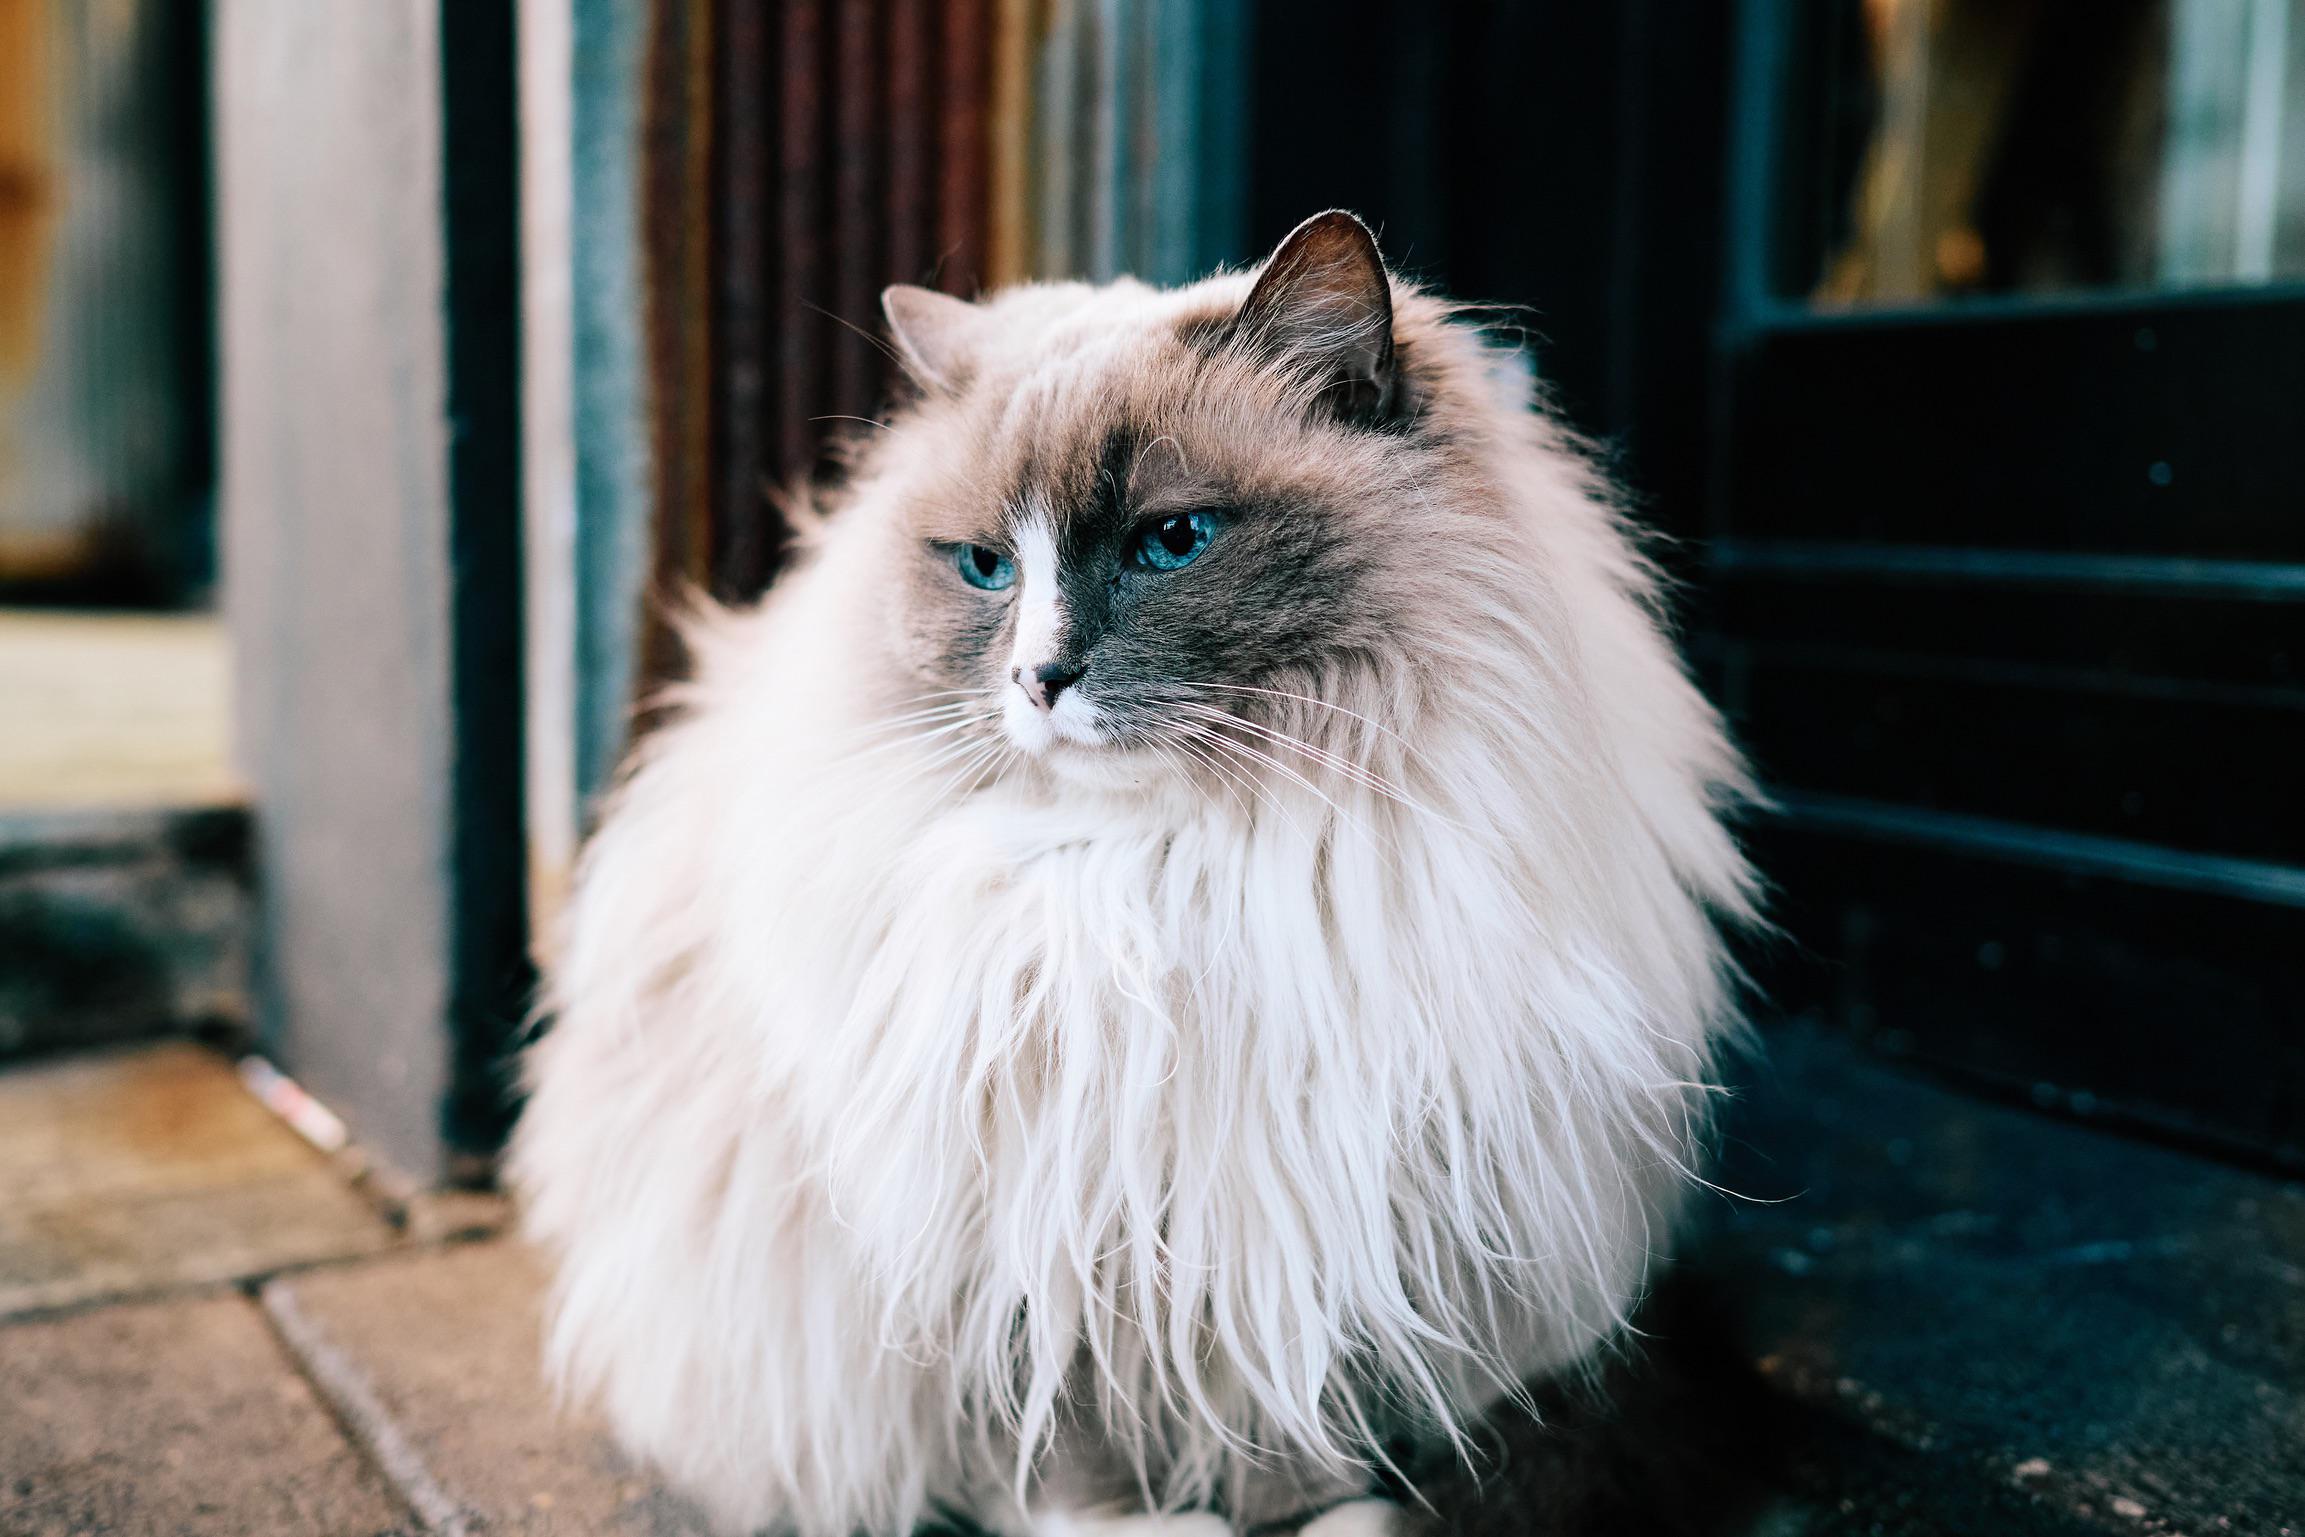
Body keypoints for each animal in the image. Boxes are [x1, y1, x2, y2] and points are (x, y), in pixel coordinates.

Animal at [514, 207, 1751, 1537]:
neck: (1171, 878)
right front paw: (1147, 1525)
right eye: (985, 568)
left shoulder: (1303, 1222)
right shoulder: (1041, 1234)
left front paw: (1313, 1519)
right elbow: (1066, 1447)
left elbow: (1292, 1436)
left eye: (1172, 543)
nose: (1037, 680)